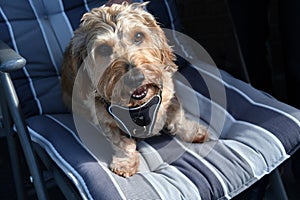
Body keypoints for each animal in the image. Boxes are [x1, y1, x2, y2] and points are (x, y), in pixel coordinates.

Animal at [59, 1, 207, 177]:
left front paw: (194, 131)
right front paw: (125, 162)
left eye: (138, 36)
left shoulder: (169, 95)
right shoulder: (105, 121)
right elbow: (122, 143)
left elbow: (178, 117)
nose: (135, 78)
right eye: (103, 49)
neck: (139, 107)